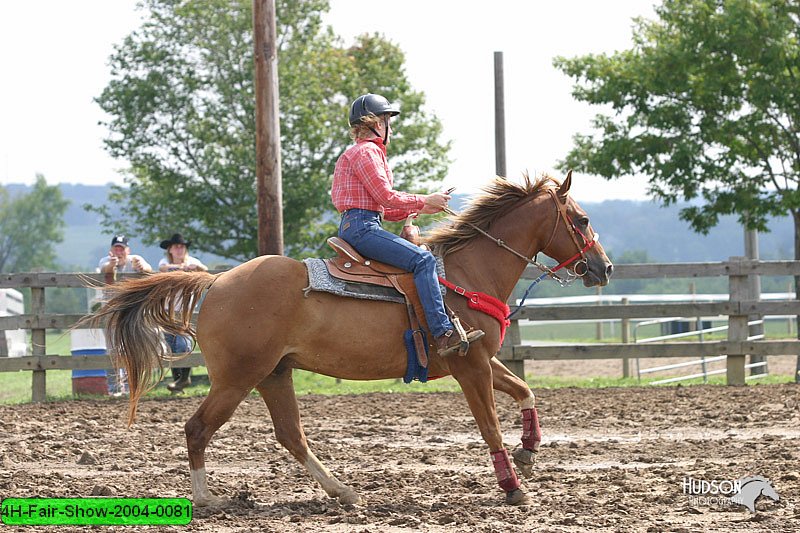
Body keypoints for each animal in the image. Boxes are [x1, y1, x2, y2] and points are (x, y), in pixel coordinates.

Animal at [97, 171, 616, 508]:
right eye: (582, 219)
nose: (604, 267)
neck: (466, 274)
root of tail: (217, 281)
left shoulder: (482, 358)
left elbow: (526, 390)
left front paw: (528, 452)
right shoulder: (469, 365)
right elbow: (489, 424)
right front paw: (513, 488)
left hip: (274, 373)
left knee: (290, 434)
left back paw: (341, 491)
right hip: (236, 378)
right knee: (198, 428)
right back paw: (207, 499)